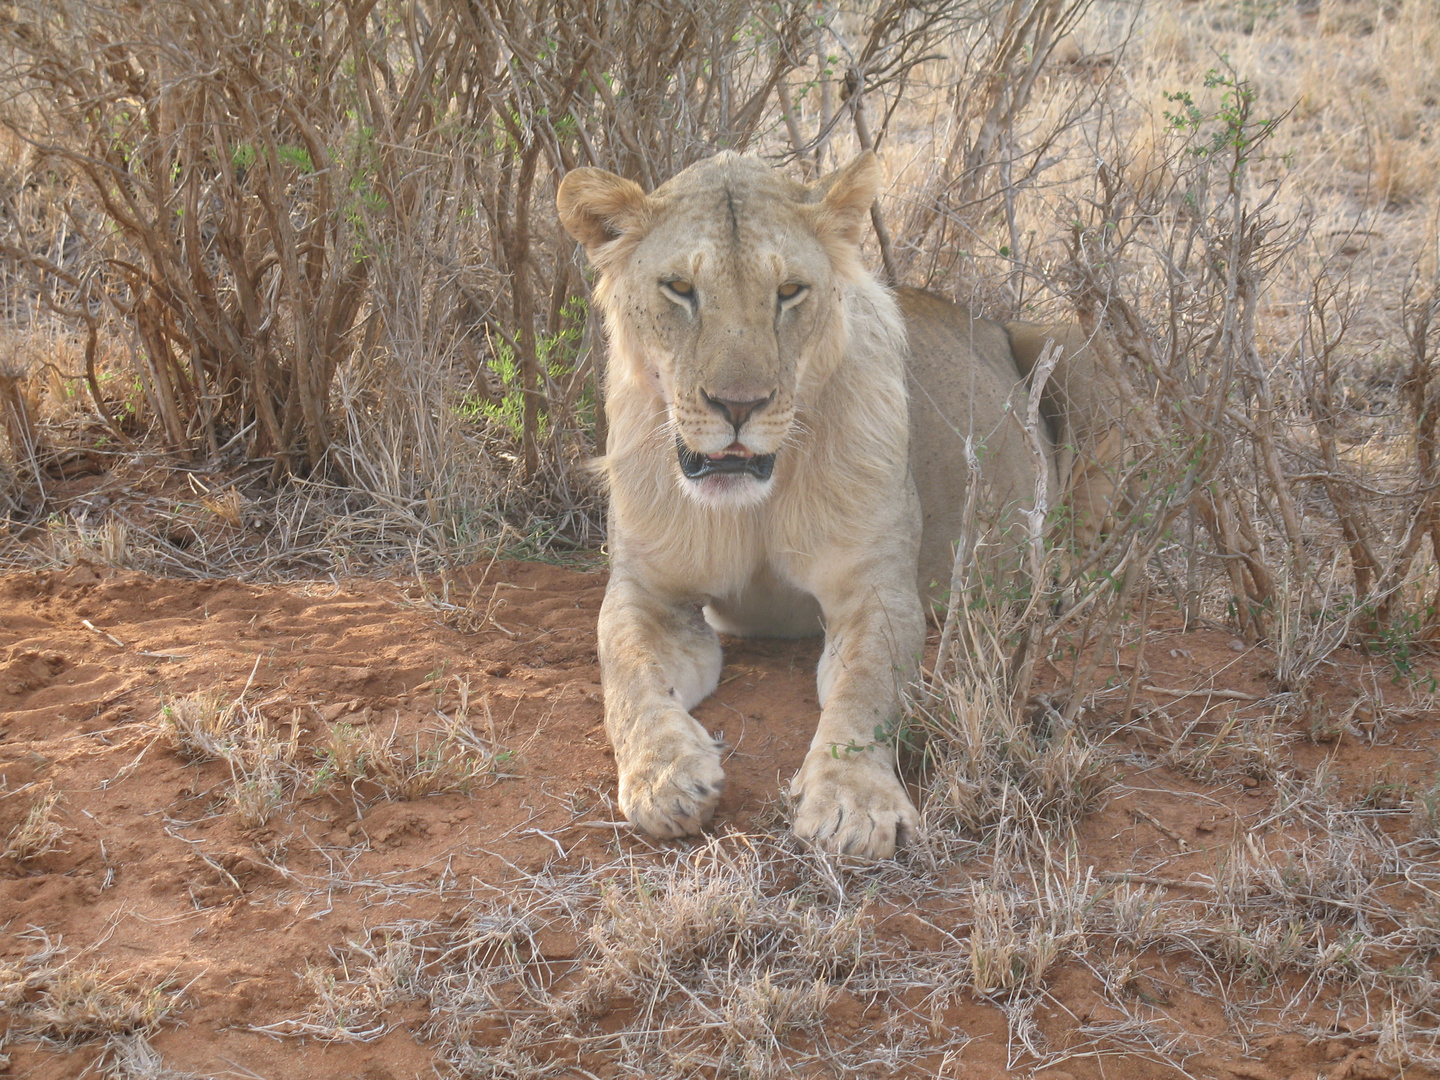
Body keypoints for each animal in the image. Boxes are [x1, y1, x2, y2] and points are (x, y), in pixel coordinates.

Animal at [555, 152, 1054, 864]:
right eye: (679, 288)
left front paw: (854, 803)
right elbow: (628, 675)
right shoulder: (650, 591)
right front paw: (665, 777)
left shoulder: (874, 591)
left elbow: (864, 690)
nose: (738, 405)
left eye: (789, 291)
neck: (755, 500)